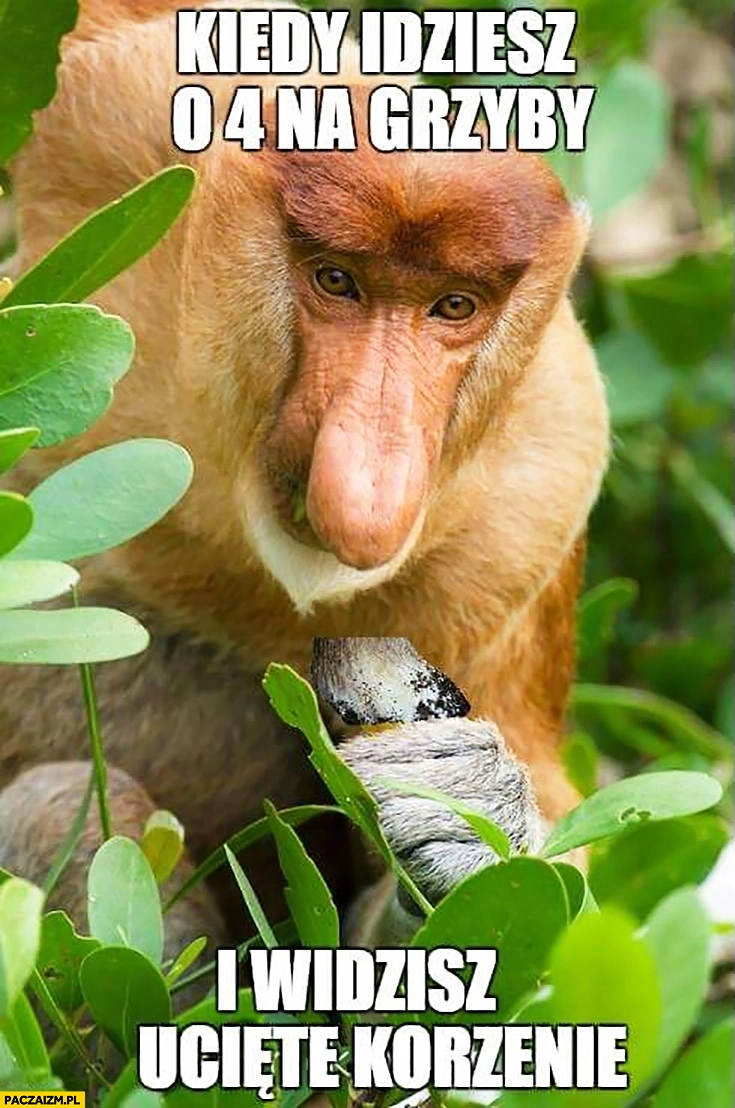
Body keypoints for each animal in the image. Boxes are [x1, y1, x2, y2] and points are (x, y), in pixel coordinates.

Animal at [0, 0, 607, 948]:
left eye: (454, 306)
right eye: (337, 280)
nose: (366, 492)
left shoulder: (539, 489)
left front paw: (462, 822)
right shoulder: (135, 95)